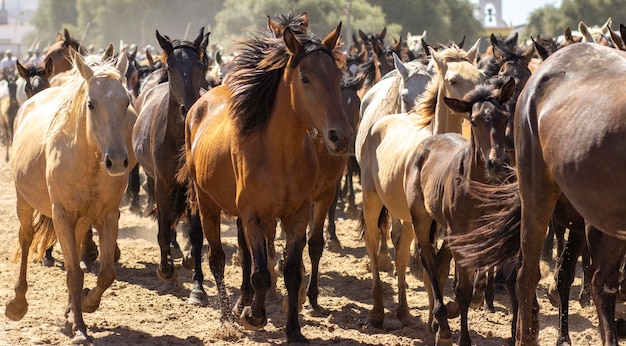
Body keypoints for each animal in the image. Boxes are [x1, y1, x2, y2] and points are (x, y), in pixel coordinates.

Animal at [4, 48, 134, 344]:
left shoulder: (108, 216)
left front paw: (85, 305)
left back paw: (70, 308)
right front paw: (80, 329)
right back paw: (18, 303)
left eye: (126, 102)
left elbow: (105, 273)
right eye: (91, 104)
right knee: (26, 238)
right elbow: (74, 273)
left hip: (82, 221)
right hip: (24, 201)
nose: (117, 161)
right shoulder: (61, 215)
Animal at [132, 27, 210, 286]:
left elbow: (196, 232)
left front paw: (196, 275)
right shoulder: (162, 184)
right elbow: (164, 227)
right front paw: (165, 268)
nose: (189, 108)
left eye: (201, 64)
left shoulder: (193, 185)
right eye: (171, 66)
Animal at [178, 23, 352, 344]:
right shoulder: (254, 216)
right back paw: (227, 318)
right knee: (217, 258)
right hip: (208, 205)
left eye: (337, 77)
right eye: (305, 78)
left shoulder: (297, 215)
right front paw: (254, 317)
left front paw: (293, 329)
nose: (340, 136)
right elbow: (260, 272)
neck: (278, 153)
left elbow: (292, 271)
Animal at [352, 39, 482, 340]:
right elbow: (429, 266)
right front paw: (439, 322)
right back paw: (378, 311)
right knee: (373, 242)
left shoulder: (447, 225)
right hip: (372, 199)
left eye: (481, 76)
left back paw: (404, 312)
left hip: (407, 216)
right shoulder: (424, 221)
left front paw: (438, 318)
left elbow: (438, 268)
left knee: (401, 253)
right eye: (453, 80)